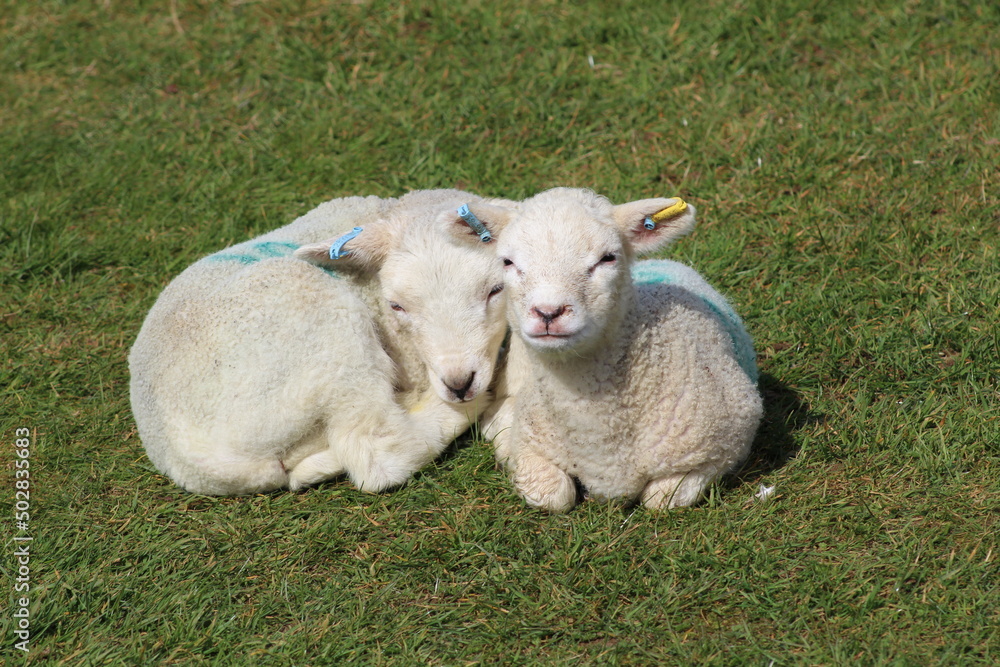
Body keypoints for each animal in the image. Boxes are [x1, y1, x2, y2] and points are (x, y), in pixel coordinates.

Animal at [129, 189, 514, 496]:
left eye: (495, 290)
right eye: (397, 306)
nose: (459, 384)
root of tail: (198, 464)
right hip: (328, 336)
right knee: (376, 453)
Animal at [456, 187, 762, 512]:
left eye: (607, 258)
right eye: (507, 262)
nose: (548, 312)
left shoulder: (725, 444)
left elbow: (660, 498)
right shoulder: (530, 445)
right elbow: (554, 495)